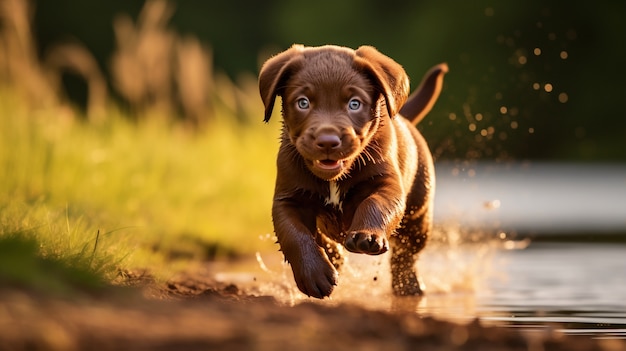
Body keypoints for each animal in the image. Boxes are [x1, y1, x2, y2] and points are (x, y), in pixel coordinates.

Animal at [260, 42, 448, 298]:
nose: (327, 141)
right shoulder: (288, 199)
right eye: (303, 102)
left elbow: (375, 204)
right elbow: (294, 235)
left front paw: (366, 235)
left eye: (354, 104)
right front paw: (314, 275)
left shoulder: (386, 183)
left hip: (418, 213)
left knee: (407, 252)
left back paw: (408, 285)